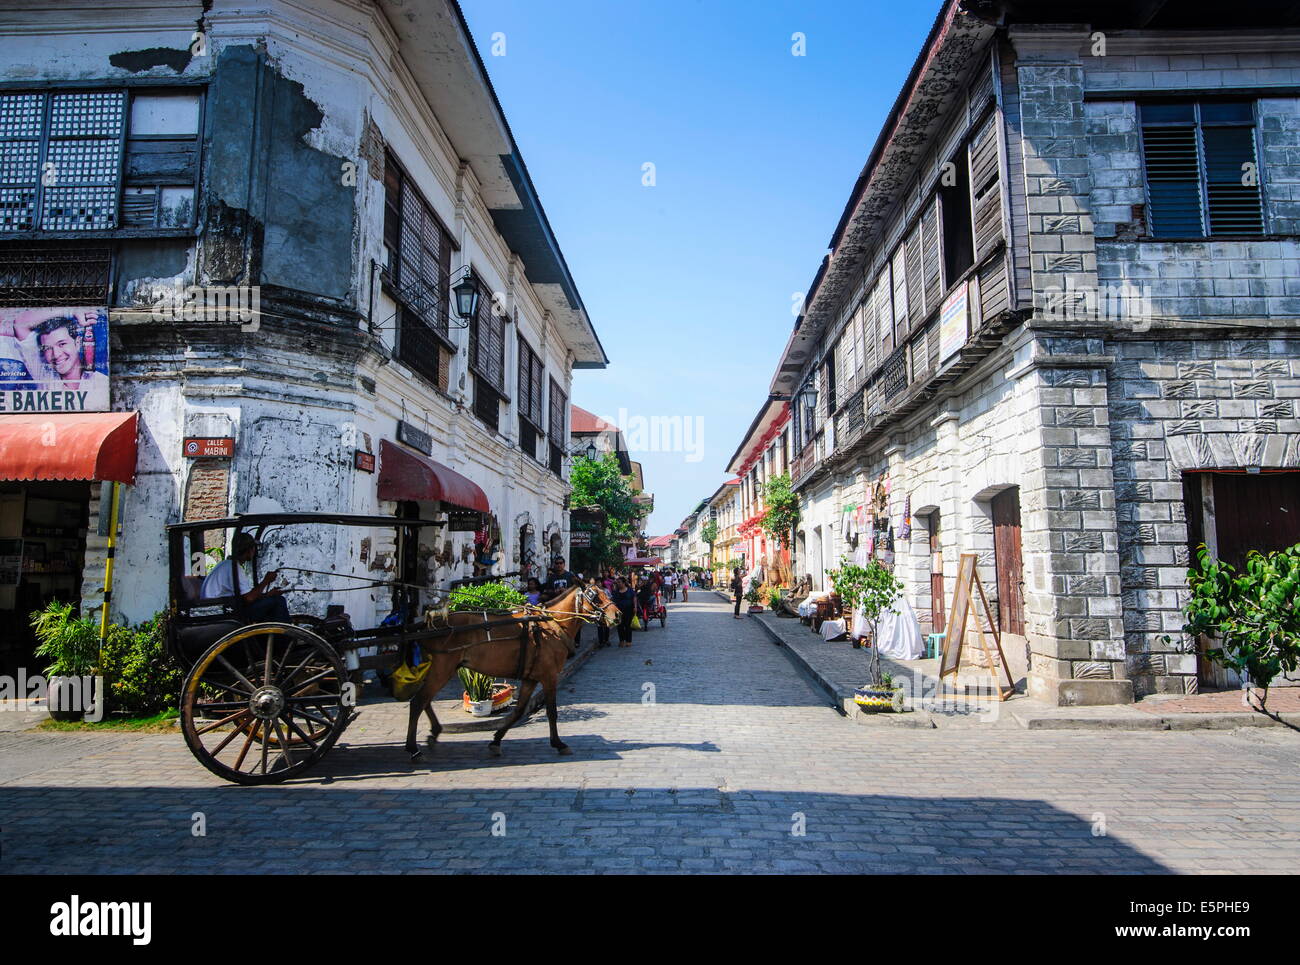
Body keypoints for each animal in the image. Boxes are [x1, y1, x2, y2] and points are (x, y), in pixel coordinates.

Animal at [403, 582, 621, 764]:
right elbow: (552, 712)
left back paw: (434, 732)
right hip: (444, 666)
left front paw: (496, 741)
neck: (552, 624)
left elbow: (519, 711)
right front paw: (559, 744)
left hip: (446, 667)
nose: (617, 614)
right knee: (418, 701)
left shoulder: (530, 678)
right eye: (595, 596)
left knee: (424, 699)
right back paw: (414, 749)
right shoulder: (549, 676)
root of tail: (433, 624)